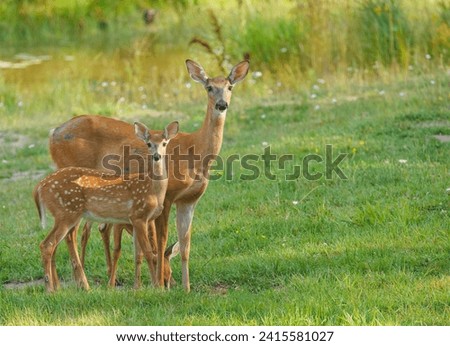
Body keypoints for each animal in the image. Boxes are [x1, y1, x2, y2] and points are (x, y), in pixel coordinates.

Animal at [34, 121, 178, 292]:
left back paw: (59, 287)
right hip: (66, 213)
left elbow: (139, 253)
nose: (157, 156)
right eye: (148, 144)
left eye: (164, 143)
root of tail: (40, 186)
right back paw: (52, 289)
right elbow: (148, 252)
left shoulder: (141, 220)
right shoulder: (138, 216)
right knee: (48, 244)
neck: (152, 190)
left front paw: (139, 287)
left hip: (65, 215)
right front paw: (156, 286)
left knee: (56, 243)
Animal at [51, 59, 251, 292]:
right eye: (209, 87)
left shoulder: (190, 199)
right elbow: (162, 241)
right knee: (71, 233)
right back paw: (81, 283)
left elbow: (185, 244)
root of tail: (53, 134)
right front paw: (161, 285)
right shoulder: (168, 195)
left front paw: (186, 288)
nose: (221, 104)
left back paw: (62, 283)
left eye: (230, 87)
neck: (195, 151)